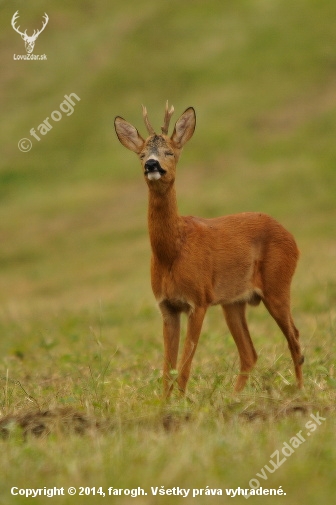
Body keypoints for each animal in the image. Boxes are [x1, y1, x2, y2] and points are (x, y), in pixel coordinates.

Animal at [114, 102, 304, 396]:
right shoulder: (166, 306)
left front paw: (181, 401)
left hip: (277, 284)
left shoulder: (199, 299)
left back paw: (300, 391)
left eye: (170, 151)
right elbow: (167, 368)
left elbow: (184, 366)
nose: (152, 164)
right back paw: (235, 397)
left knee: (294, 338)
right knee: (249, 353)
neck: (172, 253)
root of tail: (290, 236)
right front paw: (166, 402)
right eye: (142, 154)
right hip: (233, 302)